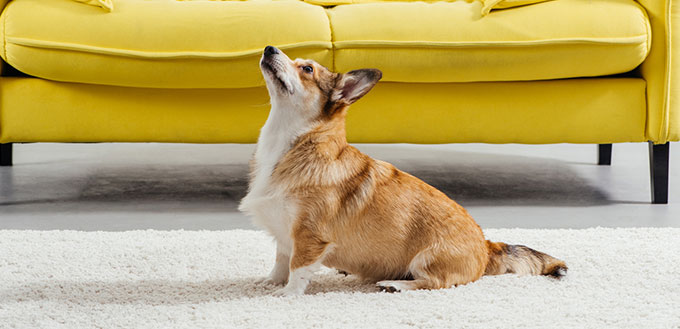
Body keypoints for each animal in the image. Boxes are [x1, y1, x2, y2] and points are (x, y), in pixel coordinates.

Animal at [239, 45, 568, 294]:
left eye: (306, 69)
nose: (269, 48)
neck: (289, 143)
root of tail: (488, 247)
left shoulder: (309, 236)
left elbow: (298, 268)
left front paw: (286, 294)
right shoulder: (285, 234)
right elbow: (281, 261)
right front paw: (269, 283)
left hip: (427, 259)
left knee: (433, 283)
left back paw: (395, 284)